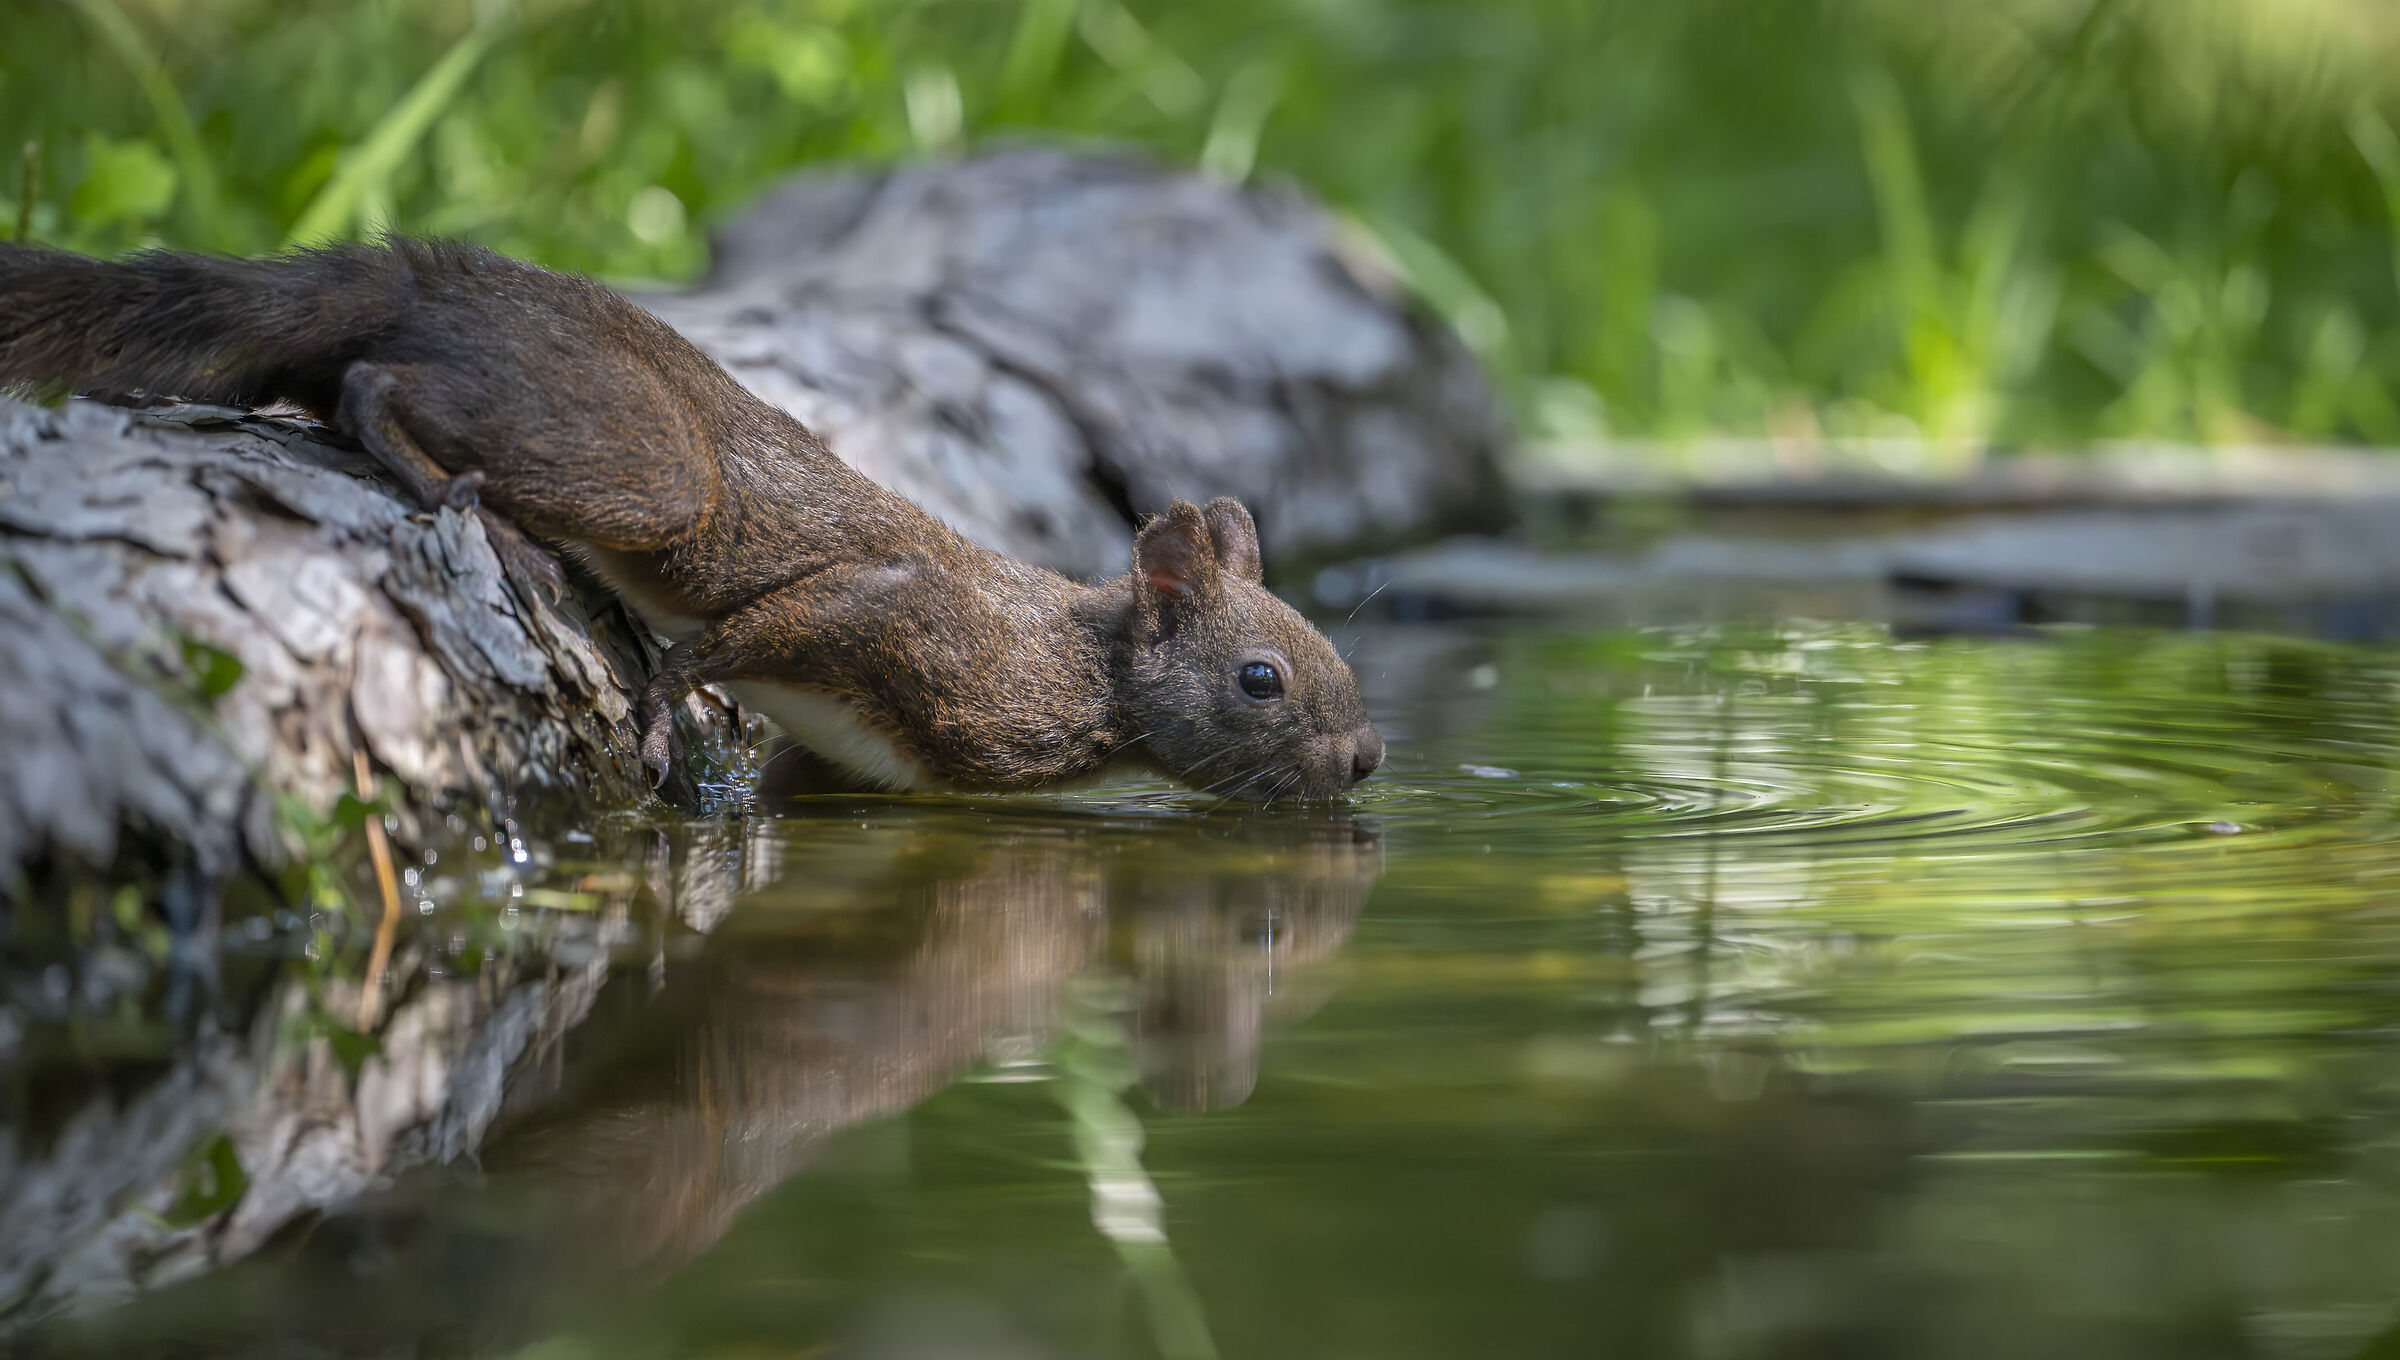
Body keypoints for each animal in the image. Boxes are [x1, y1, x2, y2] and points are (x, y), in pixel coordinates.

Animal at [0, 237, 1384, 801]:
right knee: (372, 386)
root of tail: (435, 280)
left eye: (1338, 655)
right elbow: (737, 637)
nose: (1369, 758)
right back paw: (464, 504)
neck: (1080, 663)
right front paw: (667, 710)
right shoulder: (903, 624)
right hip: (648, 466)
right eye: (1261, 678)